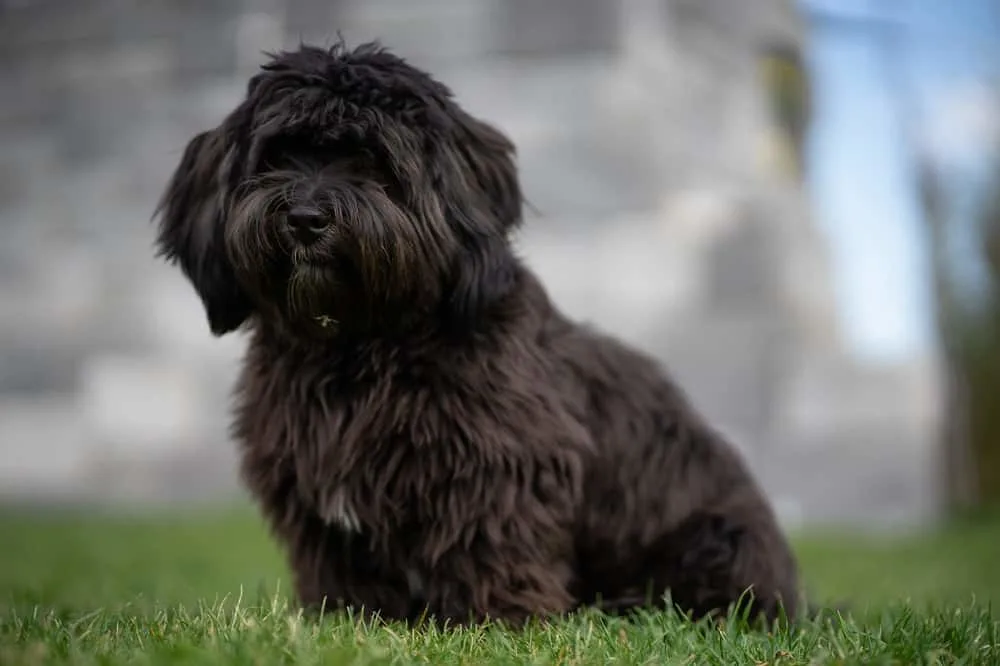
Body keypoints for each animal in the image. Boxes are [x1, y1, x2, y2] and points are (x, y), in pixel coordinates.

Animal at [156, 42, 800, 628]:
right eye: (278, 156)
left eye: (373, 162)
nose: (306, 218)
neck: (360, 341)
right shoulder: (318, 499)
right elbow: (343, 571)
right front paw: (345, 618)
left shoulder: (502, 464)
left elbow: (492, 542)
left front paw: (500, 620)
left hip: (714, 539)